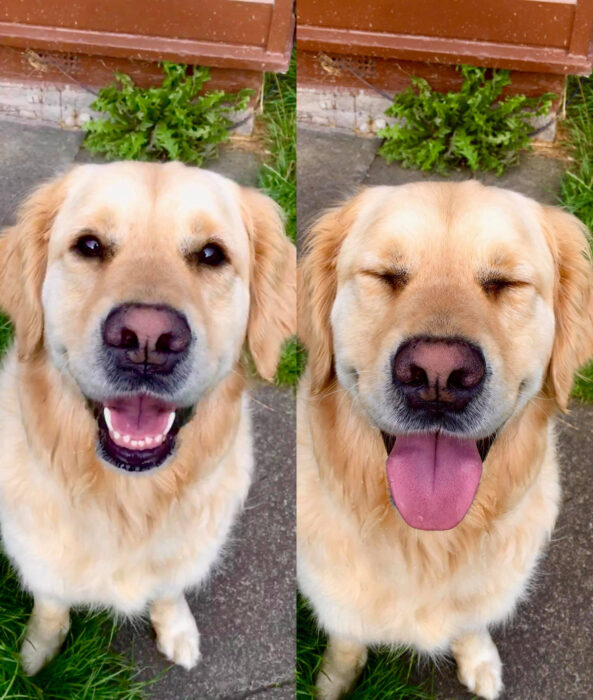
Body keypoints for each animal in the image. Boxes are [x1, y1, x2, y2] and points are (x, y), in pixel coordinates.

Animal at [0, 161, 296, 676]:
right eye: (90, 246)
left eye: (211, 254)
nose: (146, 339)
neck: (128, 500)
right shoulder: (38, 558)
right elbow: (52, 604)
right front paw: (36, 653)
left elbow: (168, 590)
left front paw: (177, 630)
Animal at [298, 182, 592, 700]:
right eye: (385, 275)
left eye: (506, 283)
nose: (438, 375)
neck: (426, 540)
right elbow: (347, 638)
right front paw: (334, 679)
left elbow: (471, 622)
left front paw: (479, 660)